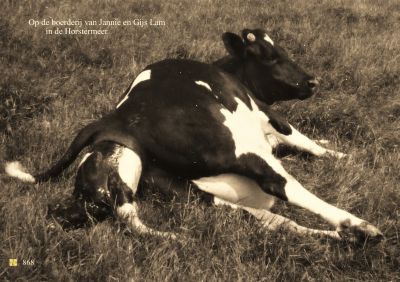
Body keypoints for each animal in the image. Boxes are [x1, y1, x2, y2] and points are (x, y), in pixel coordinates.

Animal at [4, 28, 382, 242]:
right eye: (272, 56)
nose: (312, 81)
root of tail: (119, 115)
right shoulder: (270, 116)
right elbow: (306, 142)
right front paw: (342, 155)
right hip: (238, 147)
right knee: (282, 185)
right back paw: (359, 226)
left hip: (186, 191)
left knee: (266, 219)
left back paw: (345, 237)